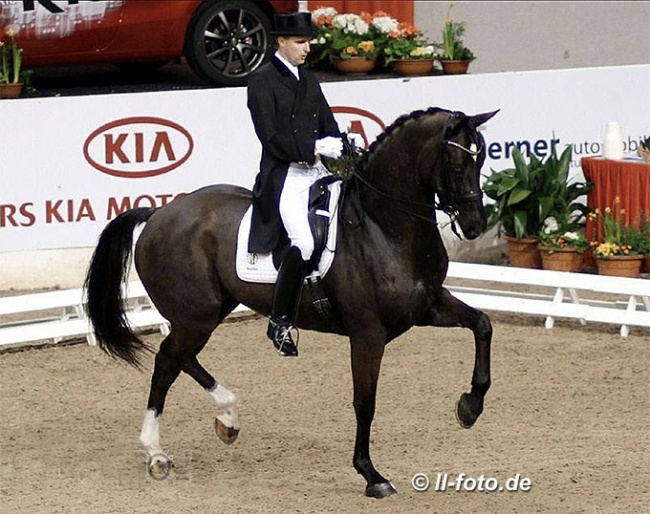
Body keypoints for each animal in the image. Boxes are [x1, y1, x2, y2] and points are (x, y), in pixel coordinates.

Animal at [85, 105, 496, 496]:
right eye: (456, 162)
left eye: (482, 160)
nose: (475, 225)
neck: (383, 227)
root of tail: (158, 214)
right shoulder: (367, 333)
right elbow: (365, 402)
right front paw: (371, 475)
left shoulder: (428, 306)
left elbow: (482, 325)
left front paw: (469, 407)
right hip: (196, 316)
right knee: (167, 363)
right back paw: (156, 453)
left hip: (209, 311)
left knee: (180, 358)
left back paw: (227, 420)